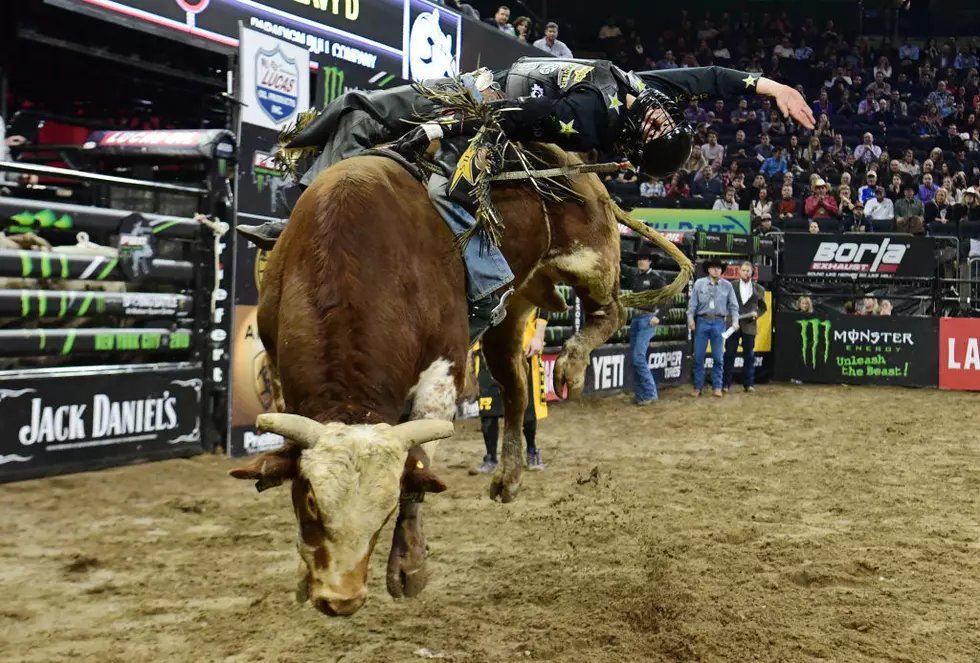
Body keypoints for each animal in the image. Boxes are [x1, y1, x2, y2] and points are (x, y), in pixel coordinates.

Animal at [229, 147, 688, 616]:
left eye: (386, 508)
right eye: (309, 500)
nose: (341, 599)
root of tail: (578, 165)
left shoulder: (444, 365)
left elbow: (419, 461)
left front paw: (409, 567)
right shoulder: (275, 357)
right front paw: (302, 573)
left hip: (591, 257)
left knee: (612, 310)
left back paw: (571, 367)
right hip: (513, 307)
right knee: (517, 391)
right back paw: (508, 478)